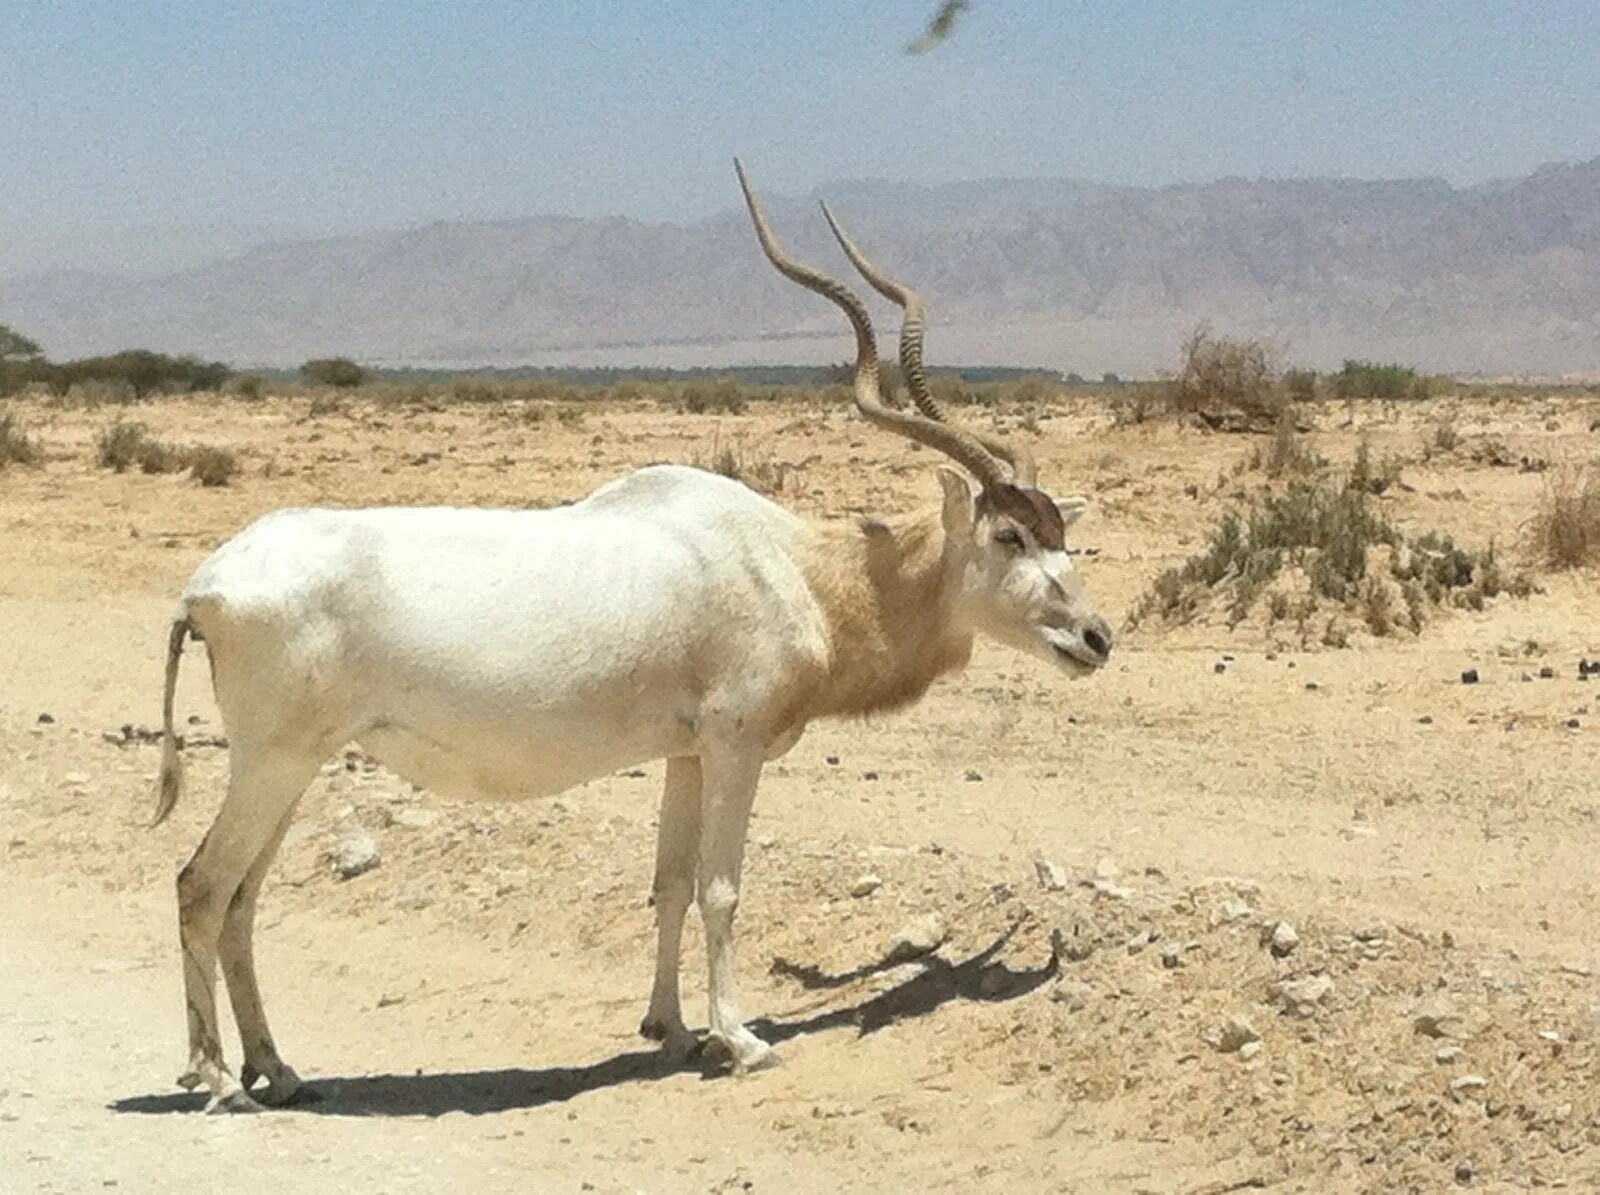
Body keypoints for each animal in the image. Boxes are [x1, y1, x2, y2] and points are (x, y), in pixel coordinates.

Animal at [156, 161, 1113, 1113]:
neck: (799, 570)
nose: (1096, 636)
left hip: (293, 764)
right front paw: (741, 1038)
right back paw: (219, 1078)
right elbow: (722, 888)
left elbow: (671, 883)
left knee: (242, 895)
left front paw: (674, 1029)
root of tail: (206, 587)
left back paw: (278, 1069)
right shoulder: (735, 746)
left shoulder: (684, 754)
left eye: (1061, 530)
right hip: (274, 760)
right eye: (1009, 535)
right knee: (202, 884)